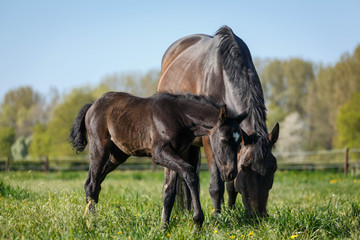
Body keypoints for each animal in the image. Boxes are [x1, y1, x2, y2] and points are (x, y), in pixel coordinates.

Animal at [68, 91, 248, 226]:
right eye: (224, 139)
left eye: (240, 141)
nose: (231, 173)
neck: (180, 116)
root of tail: (93, 105)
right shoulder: (159, 153)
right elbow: (190, 173)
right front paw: (198, 220)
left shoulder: (173, 154)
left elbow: (169, 193)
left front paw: (163, 227)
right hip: (100, 148)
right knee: (92, 184)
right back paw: (92, 222)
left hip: (118, 155)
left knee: (95, 183)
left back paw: (89, 217)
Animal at [158, 26, 278, 218]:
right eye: (245, 167)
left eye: (274, 167)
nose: (259, 215)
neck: (221, 75)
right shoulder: (210, 140)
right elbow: (216, 185)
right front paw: (217, 217)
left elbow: (230, 184)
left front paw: (229, 211)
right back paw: (188, 212)